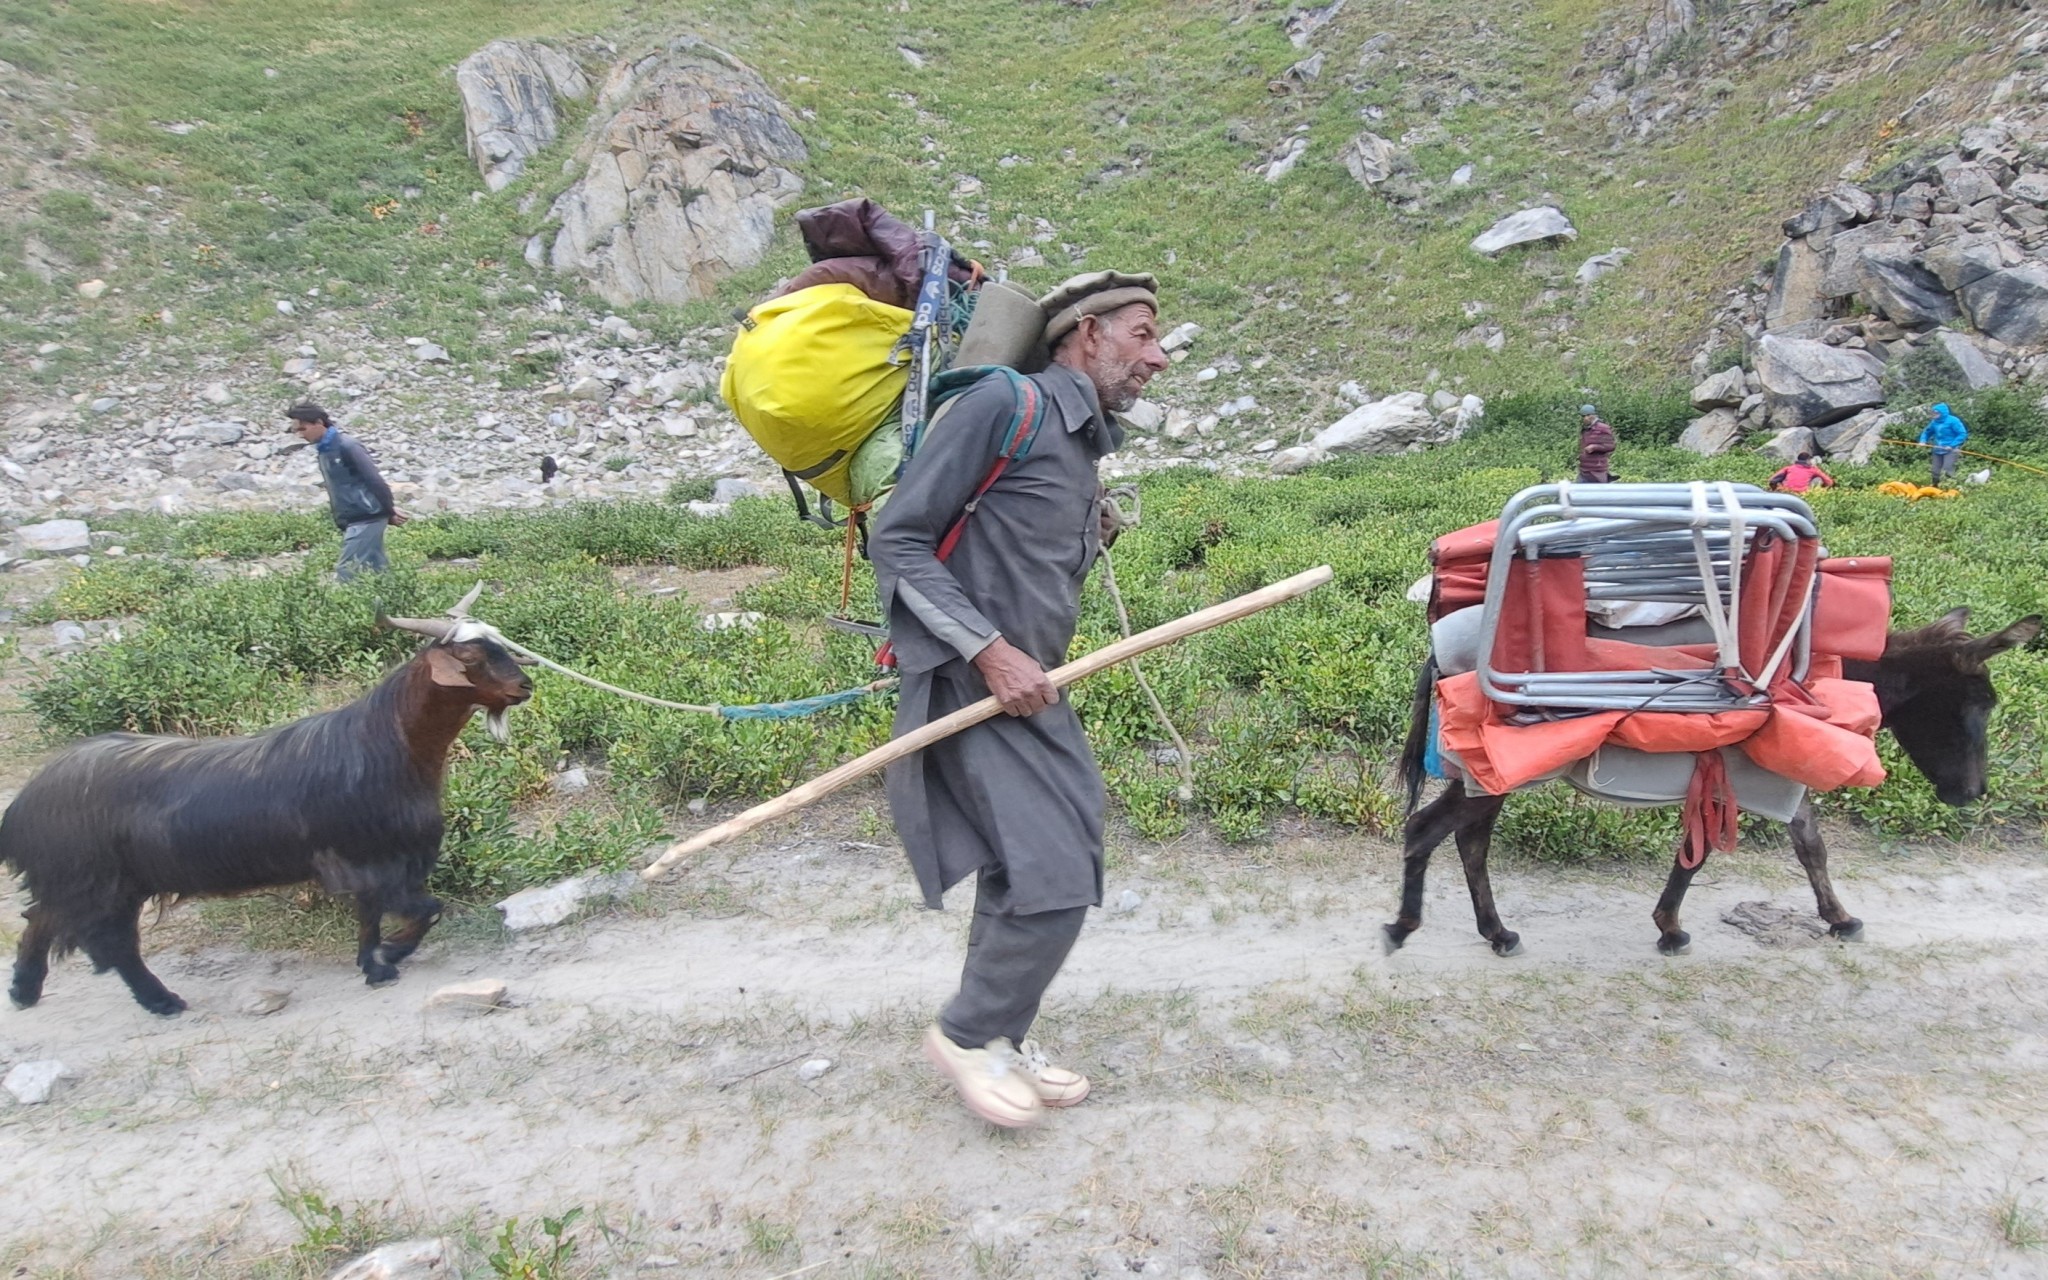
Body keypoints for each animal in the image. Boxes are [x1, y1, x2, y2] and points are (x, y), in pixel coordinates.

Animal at [0, 610, 536, 1019]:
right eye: (471, 658)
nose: (525, 686)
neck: (385, 746)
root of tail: (23, 806)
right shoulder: (368, 858)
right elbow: (423, 909)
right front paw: (387, 957)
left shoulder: (379, 861)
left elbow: (374, 915)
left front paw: (374, 962)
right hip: (99, 883)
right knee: (111, 944)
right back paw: (161, 1001)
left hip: (96, 882)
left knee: (41, 917)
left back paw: (25, 990)